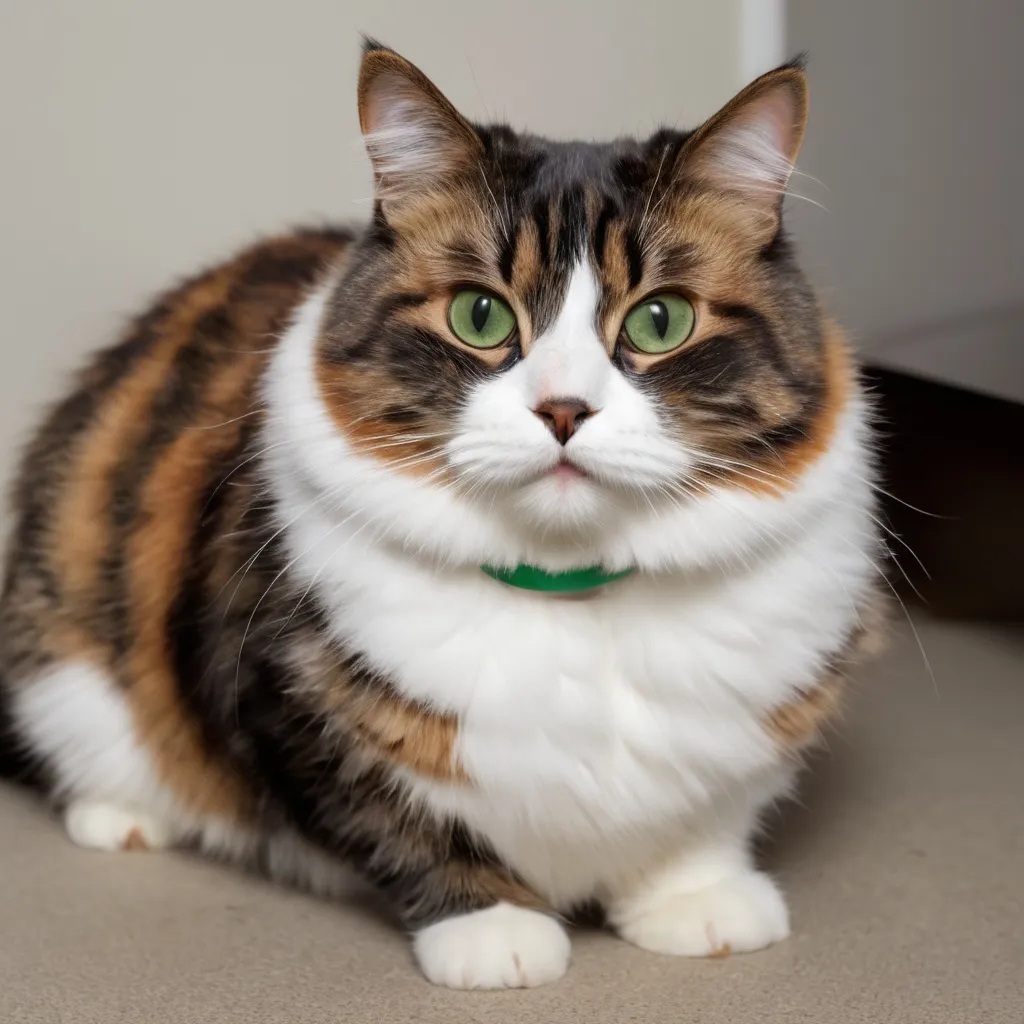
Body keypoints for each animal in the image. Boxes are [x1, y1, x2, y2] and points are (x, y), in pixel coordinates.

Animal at [0, 41, 880, 991]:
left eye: (660, 320)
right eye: (479, 314)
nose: (563, 409)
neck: (573, 593)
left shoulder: (761, 726)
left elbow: (707, 819)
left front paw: (698, 902)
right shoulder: (288, 701)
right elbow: (402, 825)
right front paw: (495, 929)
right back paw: (124, 816)